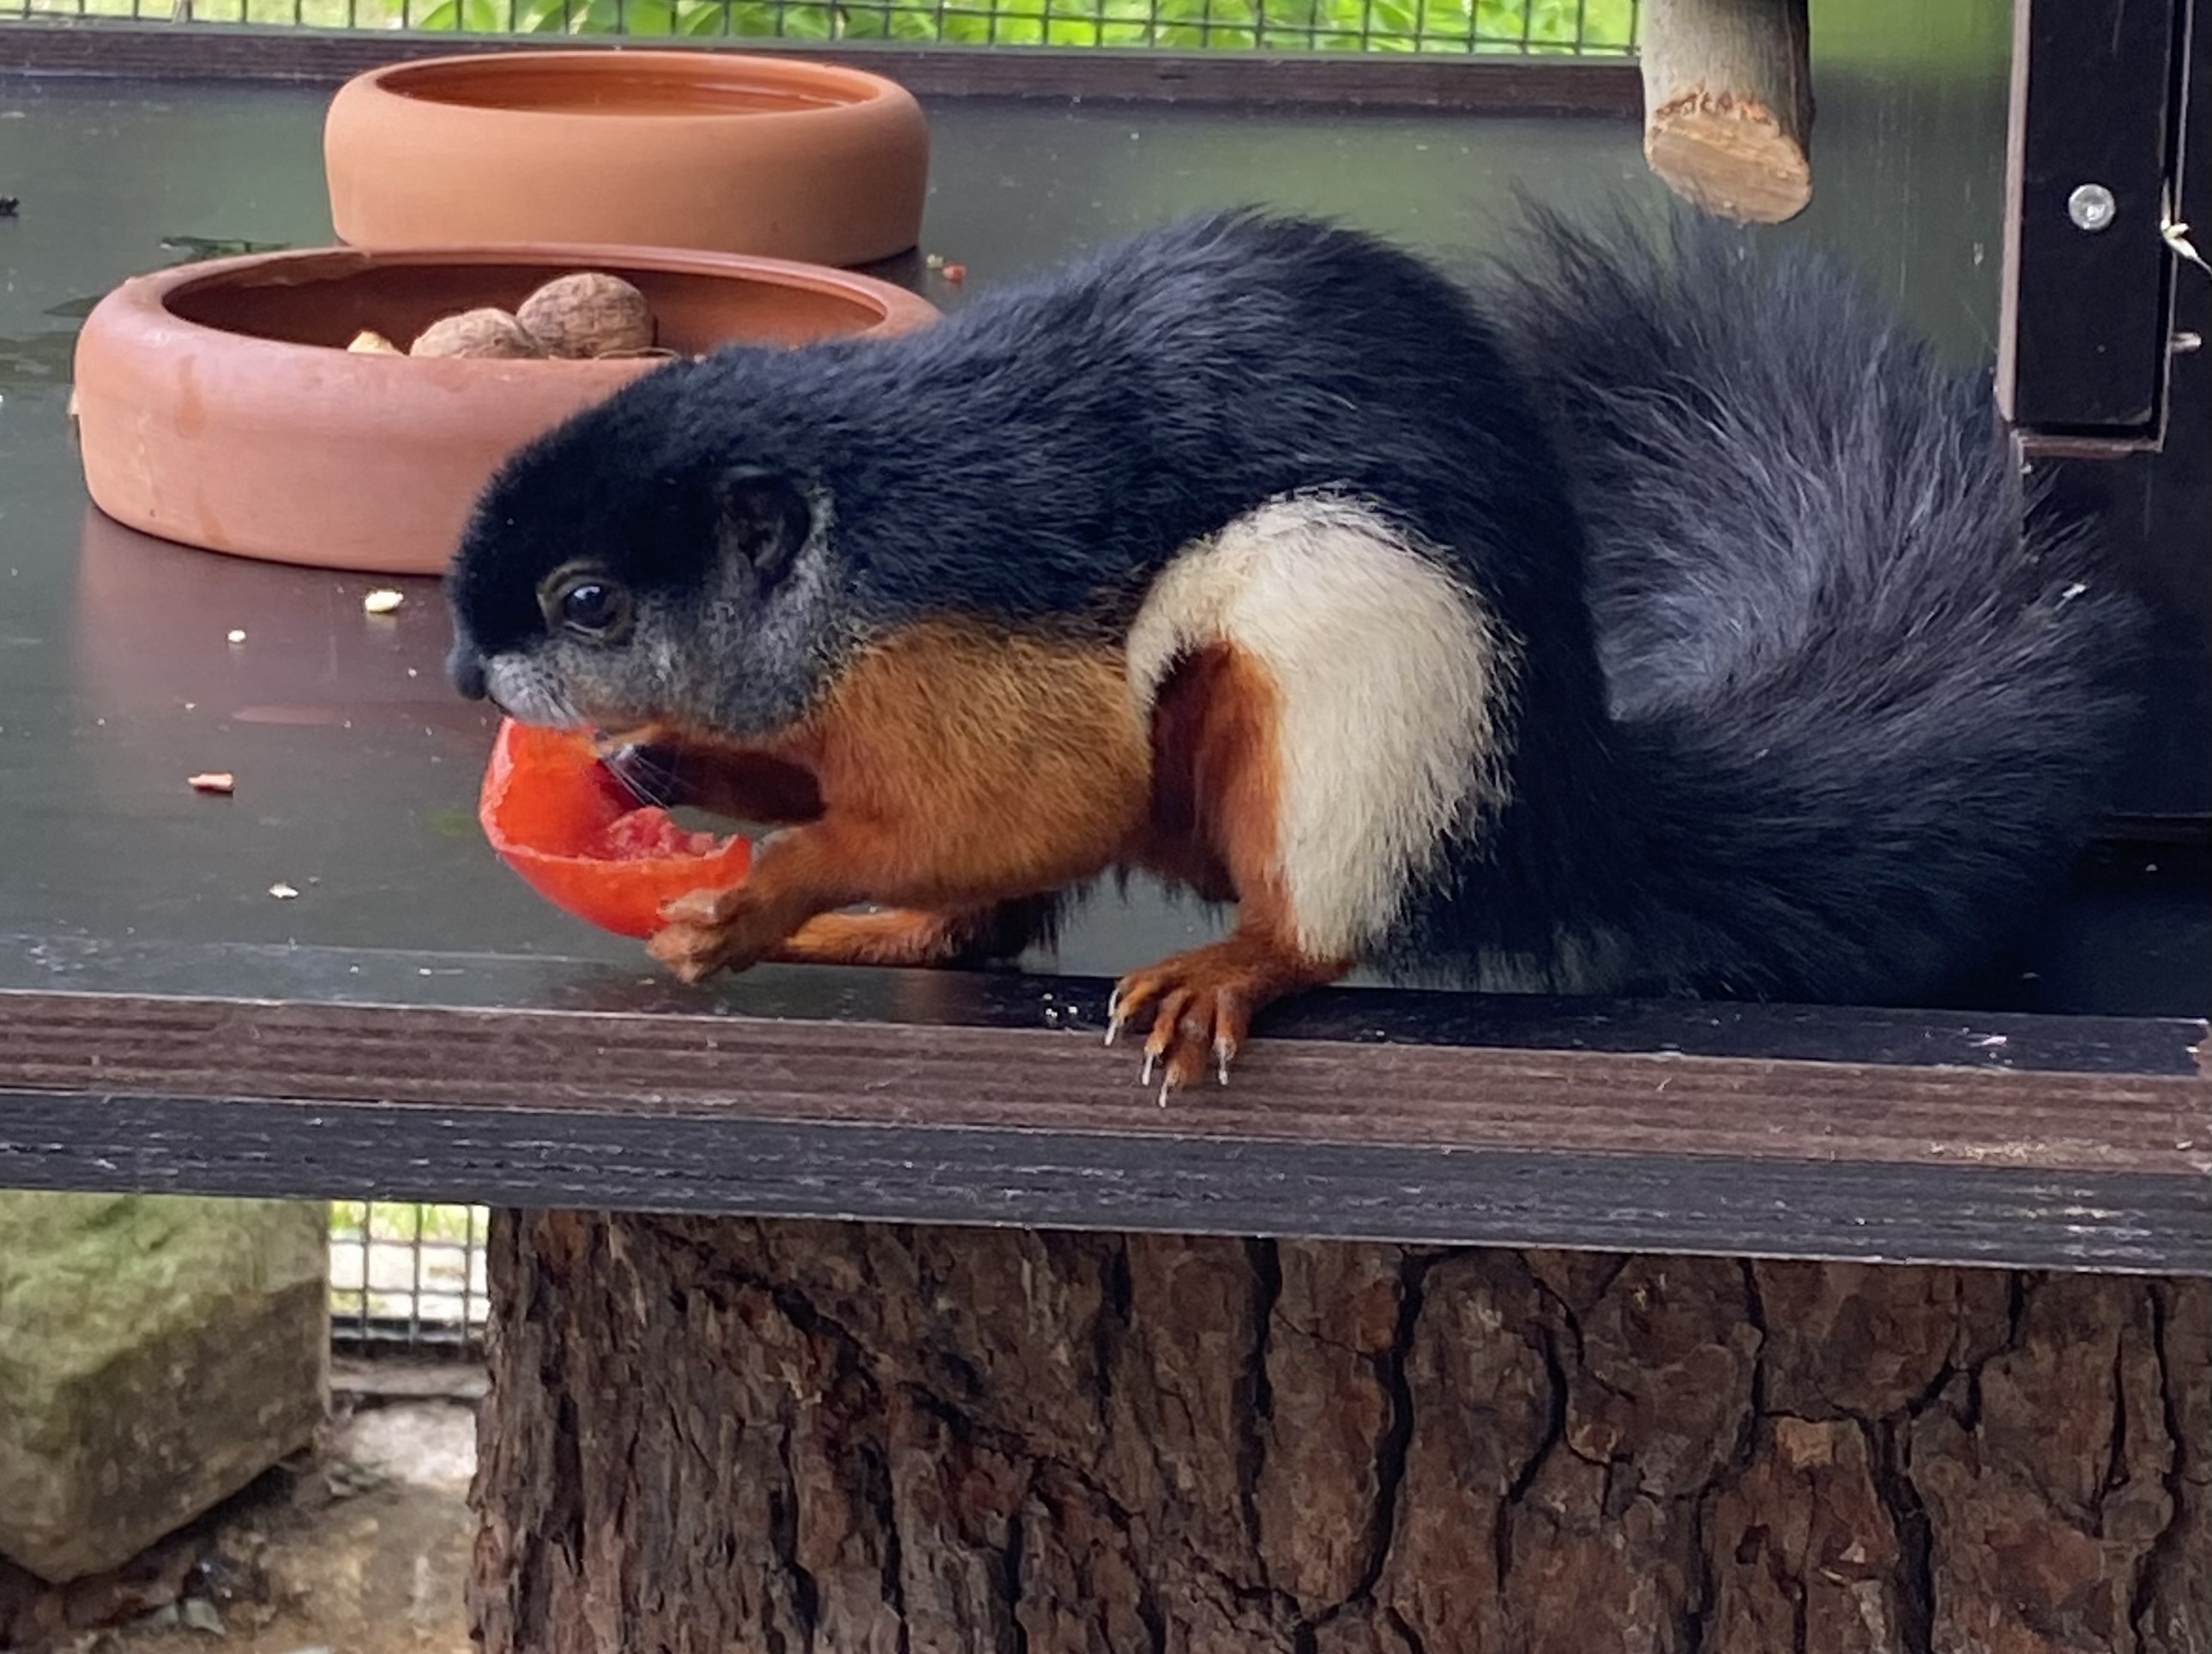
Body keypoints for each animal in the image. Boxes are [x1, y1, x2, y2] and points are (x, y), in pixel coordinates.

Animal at [444, 196, 2141, 1096]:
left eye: (588, 602)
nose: (470, 672)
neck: (853, 553)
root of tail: (1551, 793)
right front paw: (670, 765)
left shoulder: (979, 651)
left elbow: (1027, 802)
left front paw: (761, 890)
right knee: (967, 938)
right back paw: (873, 933)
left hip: (1354, 690)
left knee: (1304, 913)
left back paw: (1224, 968)